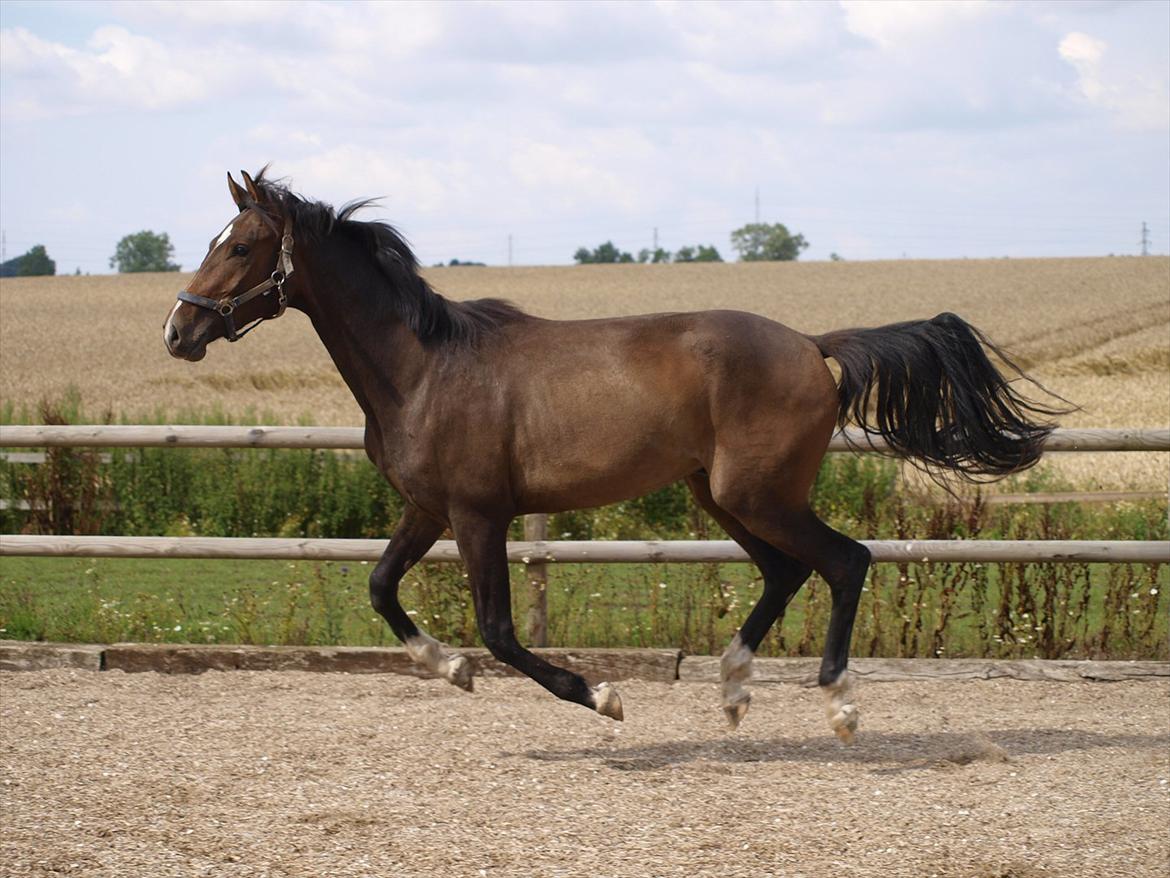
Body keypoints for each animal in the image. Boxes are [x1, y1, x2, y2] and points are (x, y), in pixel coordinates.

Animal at [164, 169, 1071, 744]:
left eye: (240, 247)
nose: (179, 330)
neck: (422, 366)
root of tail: (813, 346)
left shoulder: (478, 514)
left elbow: (500, 630)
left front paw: (602, 696)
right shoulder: (427, 508)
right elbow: (382, 589)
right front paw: (448, 668)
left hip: (759, 493)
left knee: (845, 561)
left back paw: (840, 706)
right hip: (720, 495)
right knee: (786, 572)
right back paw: (733, 690)